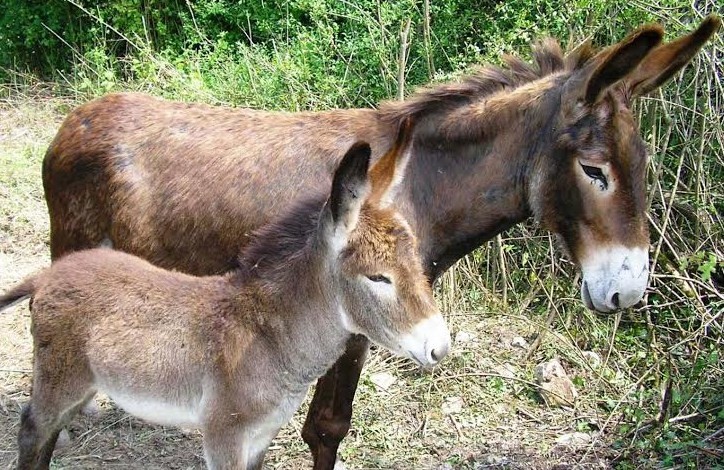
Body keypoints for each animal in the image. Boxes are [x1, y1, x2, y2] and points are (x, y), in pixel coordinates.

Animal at [1, 124, 452, 466]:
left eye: (417, 262)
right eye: (378, 278)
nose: (440, 348)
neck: (268, 337)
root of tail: (50, 274)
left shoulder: (261, 436)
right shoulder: (224, 436)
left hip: (83, 382)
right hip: (61, 379)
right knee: (33, 429)